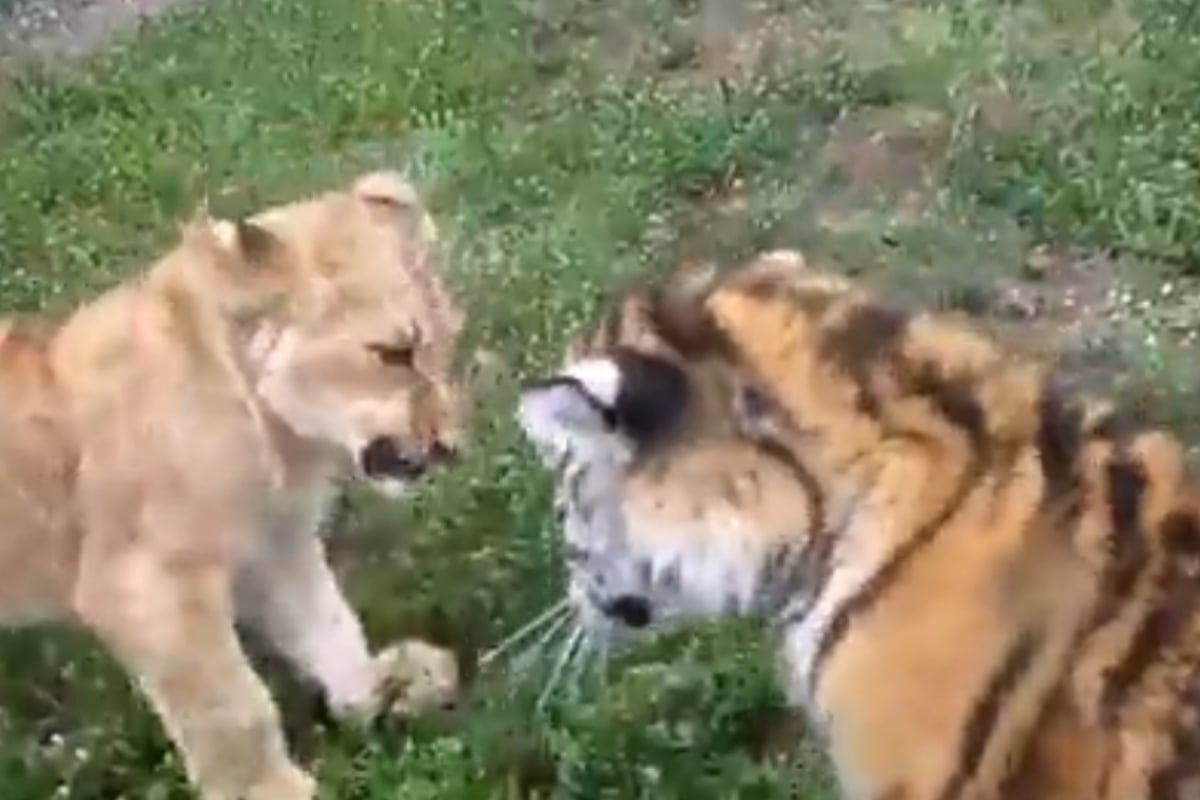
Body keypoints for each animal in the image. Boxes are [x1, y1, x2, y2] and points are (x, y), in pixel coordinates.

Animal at [0, 171, 465, 799]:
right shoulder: (147, 581)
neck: (277, 435)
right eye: (393, 353)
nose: (451, 446)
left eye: (446, 344)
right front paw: (270, 789)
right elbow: (232, 705)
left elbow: (330, 624)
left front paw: (379, 691)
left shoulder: (274, 545)